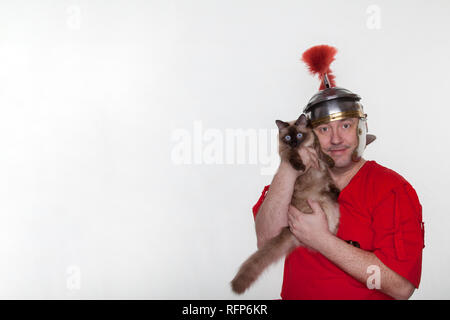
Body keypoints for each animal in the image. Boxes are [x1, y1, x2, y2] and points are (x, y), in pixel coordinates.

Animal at [230, 114, 340, 294]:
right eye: (288, 138)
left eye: (299, 135)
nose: (295, 143)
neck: (305, 148)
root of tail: (288, 228)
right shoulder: (286, 153)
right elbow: (293, 157)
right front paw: (300, 166)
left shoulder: (316, 148)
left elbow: (323, 155)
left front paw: (330, 162)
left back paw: (336, 192)